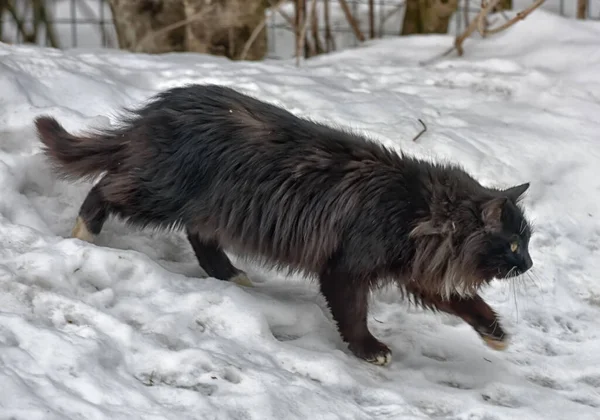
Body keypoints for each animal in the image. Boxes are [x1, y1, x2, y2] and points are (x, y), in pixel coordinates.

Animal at [34, 83, 528, 366]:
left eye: (528, 242)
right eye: (513, 246)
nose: (529, 265)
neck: (417, 212)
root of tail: (156, 111)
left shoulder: (416, 272)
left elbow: (468, 304)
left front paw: (497, 335)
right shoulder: (347, 267)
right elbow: (353, 315)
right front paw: (370, 350)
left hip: (210, 205)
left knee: (199, 236)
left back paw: (232, 275)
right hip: (161, 192)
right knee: (105, 186)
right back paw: (84, 233)